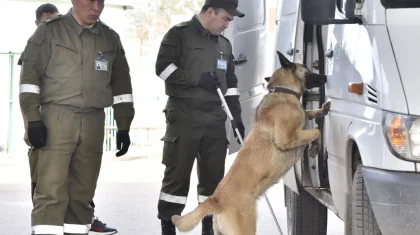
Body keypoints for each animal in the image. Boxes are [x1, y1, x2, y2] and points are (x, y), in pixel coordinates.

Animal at [171, 50, 332, 234]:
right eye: (307, 69)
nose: (325, 76)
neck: (284, 91)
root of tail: (215, 199)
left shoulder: (302, 122)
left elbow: (309, 114)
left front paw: (322, 110)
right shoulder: (286, 138)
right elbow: (316, 131)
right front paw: (315, 148)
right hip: (246, 228)